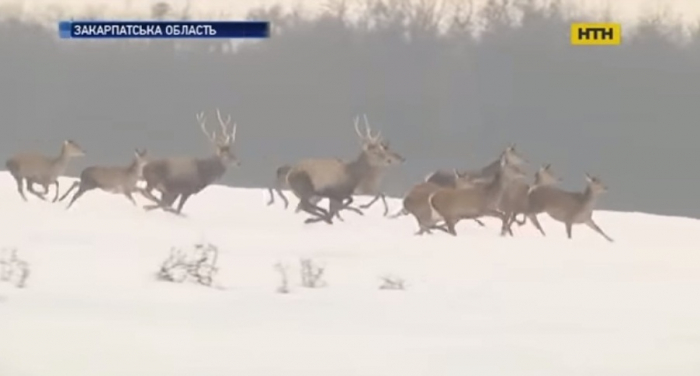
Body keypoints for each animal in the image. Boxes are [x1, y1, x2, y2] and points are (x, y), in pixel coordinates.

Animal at [266, 116, 402, 219]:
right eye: (376, 151)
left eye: (383, 149)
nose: (400, 158)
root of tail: (290, 174)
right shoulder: (340, 191)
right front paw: (364, 209)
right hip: (306, 188)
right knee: (303, 205)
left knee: (301, 207)